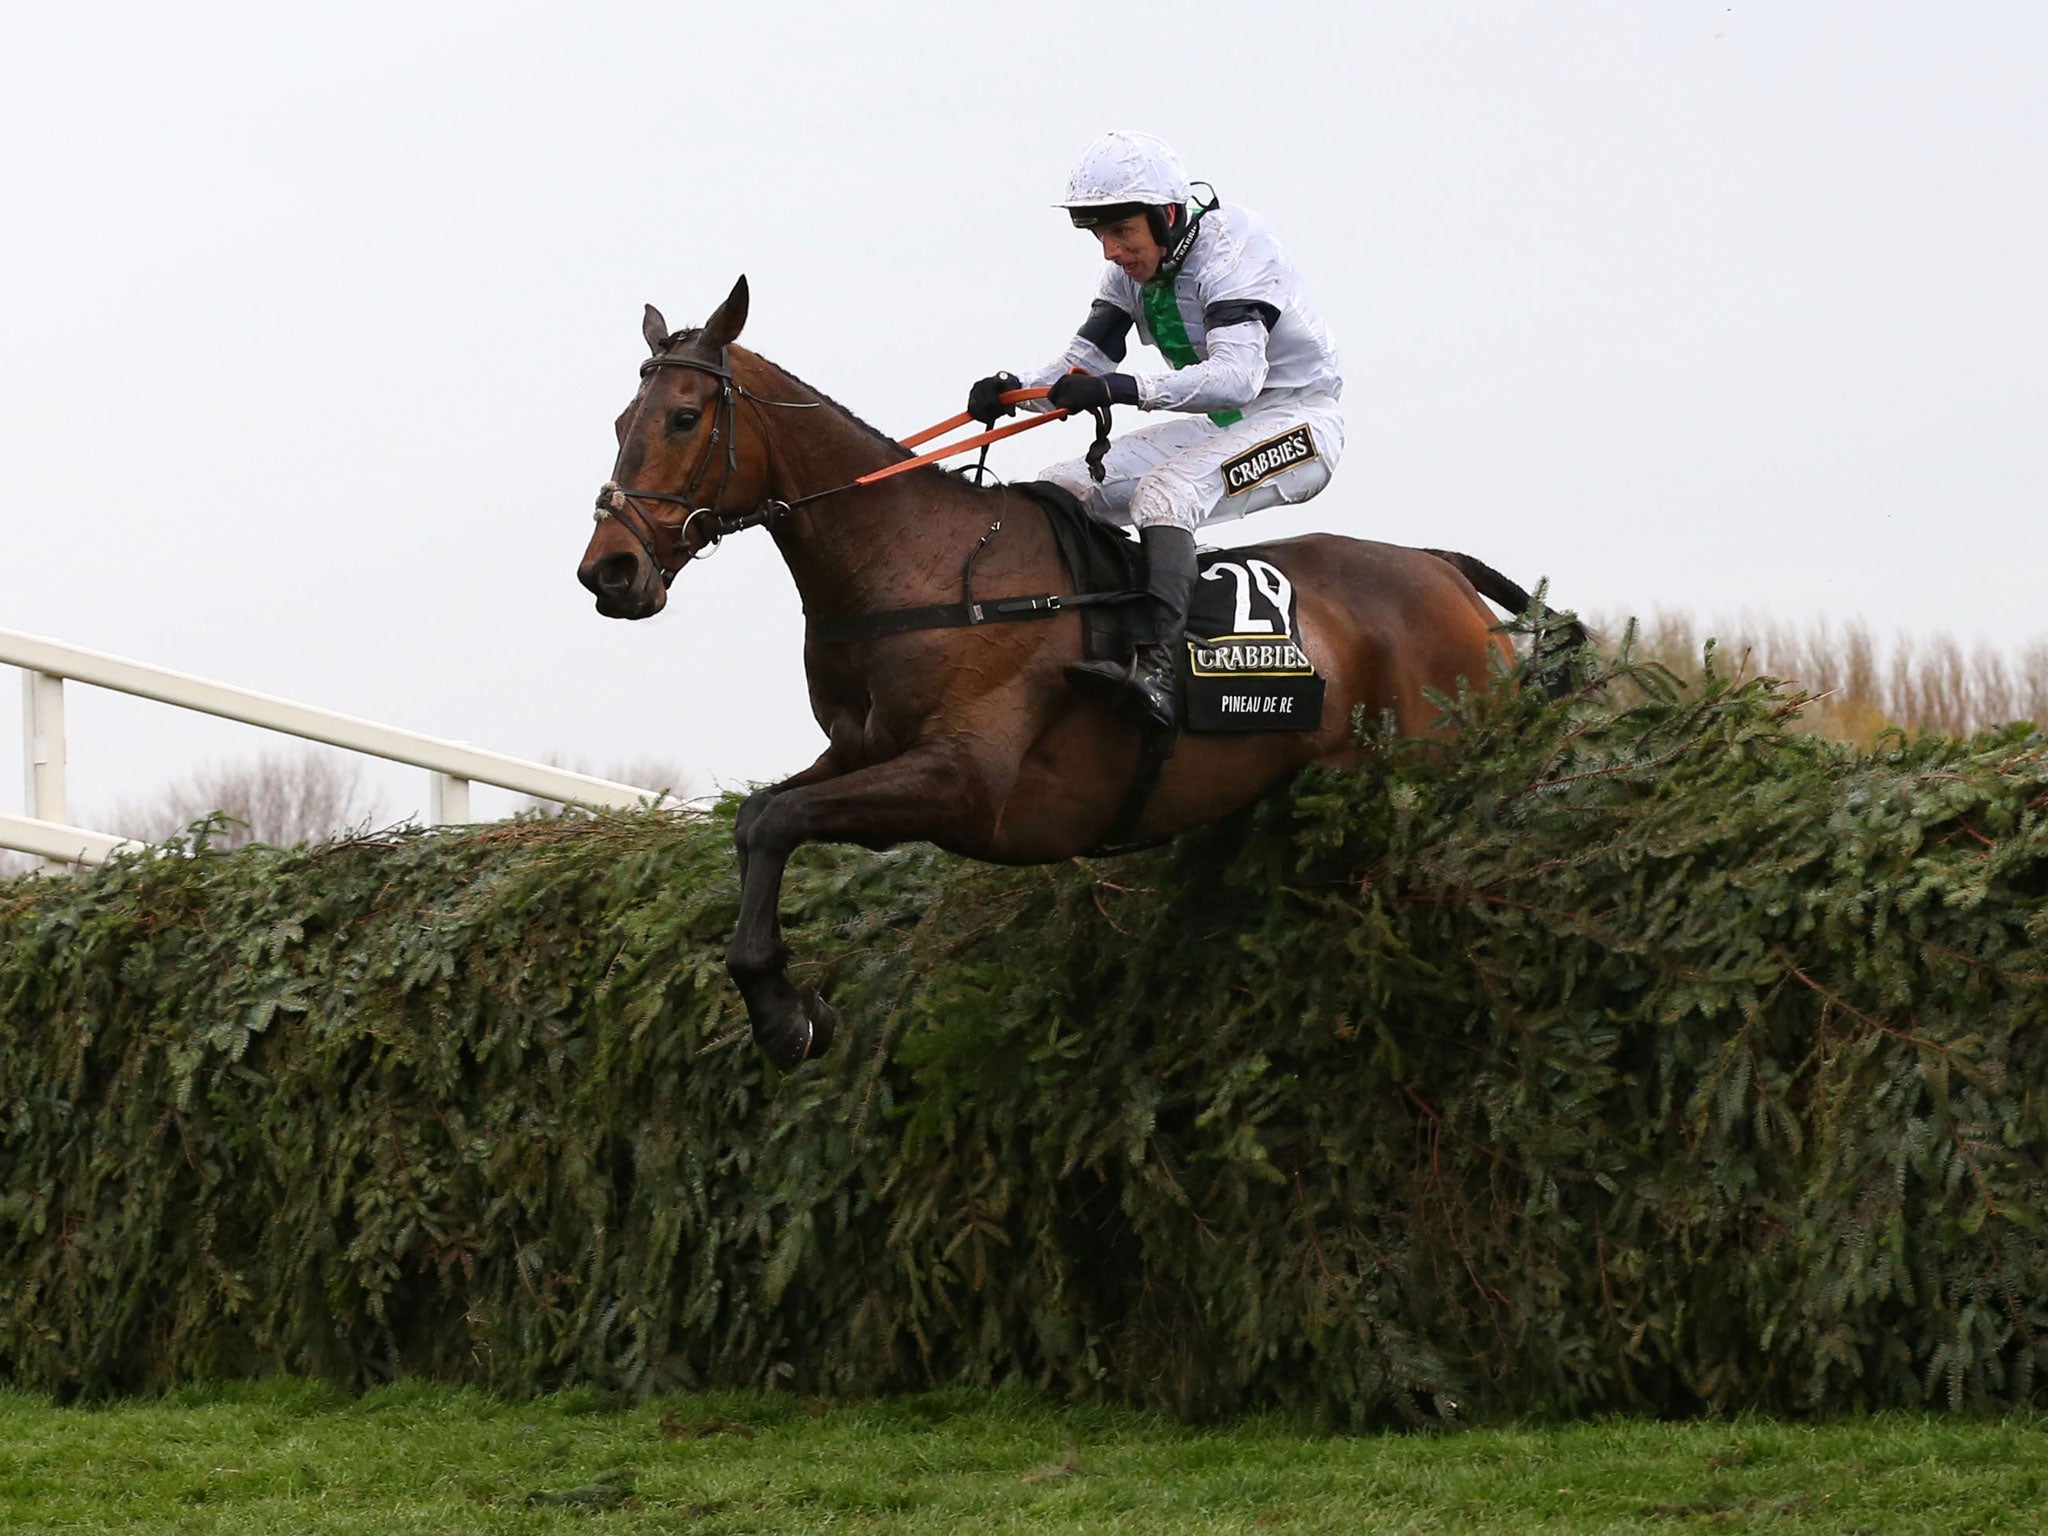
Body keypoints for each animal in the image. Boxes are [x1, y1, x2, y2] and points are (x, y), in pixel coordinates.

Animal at [577, 276, 1564, 1073]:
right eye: (621, 423)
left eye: (684, 418)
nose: (609, 572)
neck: (920, 568)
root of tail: (1441, 570)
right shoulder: (863, 753)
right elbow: (758, 818)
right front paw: (785, 1002)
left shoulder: (962, 783)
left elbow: (782, 820)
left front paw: (787, 1017)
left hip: (1435, 749)